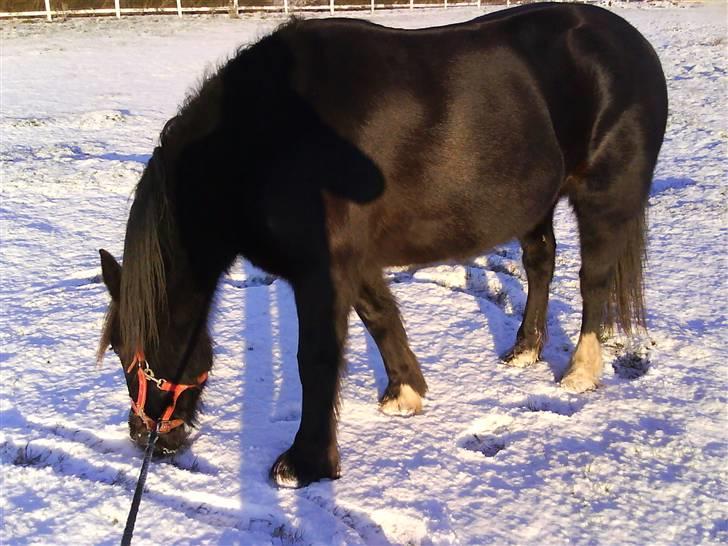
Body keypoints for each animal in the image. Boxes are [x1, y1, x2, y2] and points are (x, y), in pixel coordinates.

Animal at [97, 2, 668, 487]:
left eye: (130, 349)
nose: (148, 437)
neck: (264, 137)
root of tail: (629, 42)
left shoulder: (322, 272)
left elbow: (317, 358)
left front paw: (303, 464)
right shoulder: (353, 262)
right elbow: (380, 317)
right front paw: (405, 394)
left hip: (603, 197)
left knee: (593, 279)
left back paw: (579, 373)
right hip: (534, 202)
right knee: (540, 261)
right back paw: (525, 350)